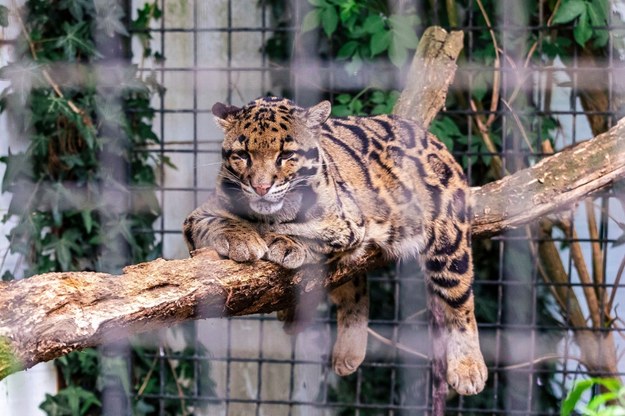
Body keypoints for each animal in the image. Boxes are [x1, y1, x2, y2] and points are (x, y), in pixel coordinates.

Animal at [183, 96, 486, 394]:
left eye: (286, 156)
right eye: (243, 155)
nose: (261, 188)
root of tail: (434, 140)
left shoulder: (348, 225)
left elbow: (307, 233)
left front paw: (282, 241)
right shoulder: (195, 218)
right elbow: (213, 222)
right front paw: (241, 237)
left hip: (448, 241)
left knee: (460, 300)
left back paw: (469, 367)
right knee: (354, 287)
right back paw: (344, 349)